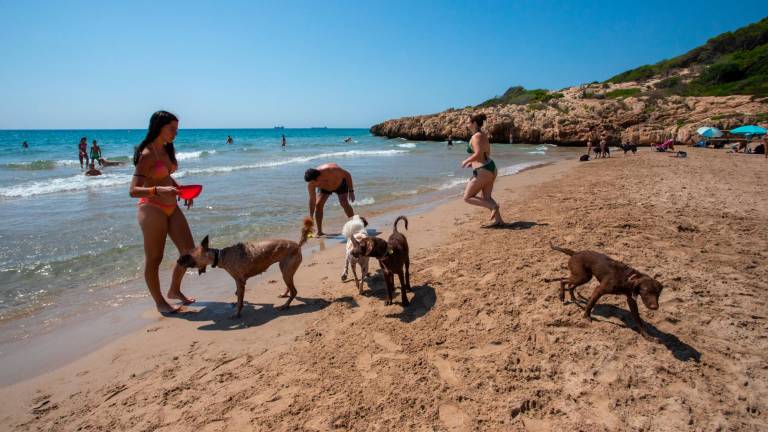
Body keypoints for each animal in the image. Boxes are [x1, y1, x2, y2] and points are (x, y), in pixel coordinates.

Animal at [178, 218, 316, 316]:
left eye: (189, 255)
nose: (178, 261)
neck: (220, 255)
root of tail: (297, 245)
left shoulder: (240, 281)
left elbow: (240, 300)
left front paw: (237, 313)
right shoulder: (239, 282)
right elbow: (239, 296)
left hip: (286, 271)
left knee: (294, 291)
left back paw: (286, 305)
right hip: (285, 271)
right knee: (290, 288)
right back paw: (284, 295)